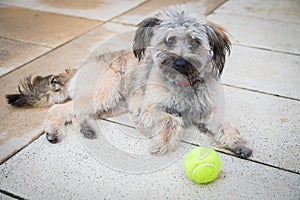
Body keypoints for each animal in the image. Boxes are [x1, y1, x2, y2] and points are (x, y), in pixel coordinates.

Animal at [6, 6, 253, 158]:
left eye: (195, 41)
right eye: (169, 40)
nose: (180, 63)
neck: (185, 84)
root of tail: (81, 65)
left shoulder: (209, 111)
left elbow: (226, 123)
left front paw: (239, 143)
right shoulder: (147, 109)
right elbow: (171, 121)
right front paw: (161, 145)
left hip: (113, 104)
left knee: (77, 113)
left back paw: (86, 128)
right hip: (104, 93)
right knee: (61, 109)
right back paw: (54, 132)